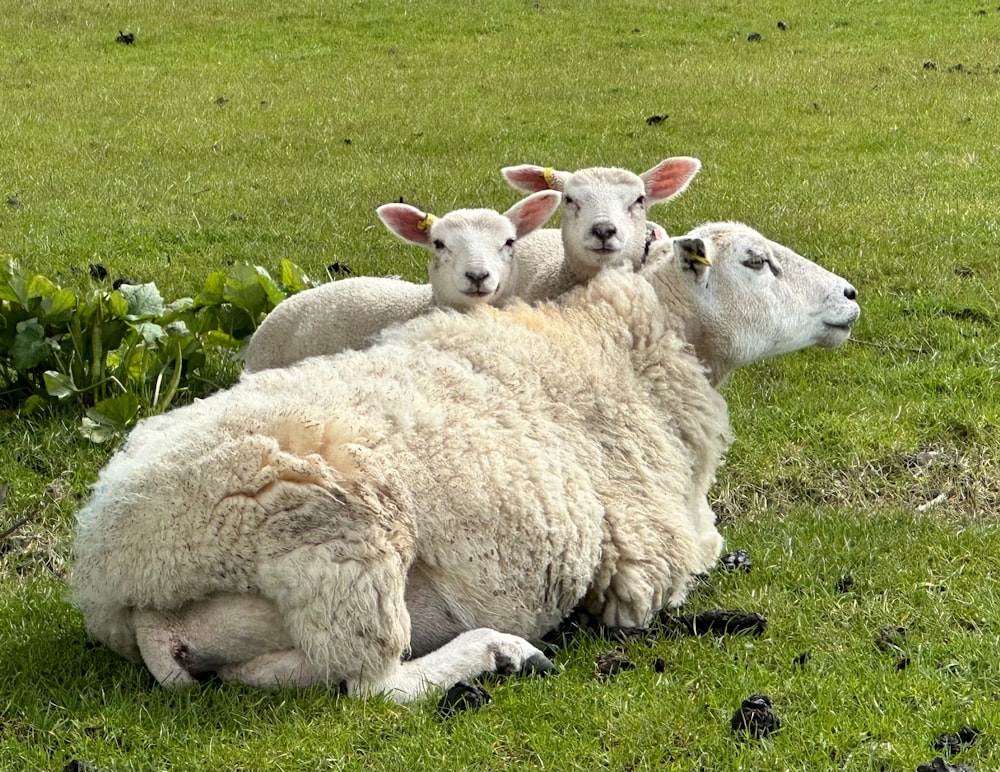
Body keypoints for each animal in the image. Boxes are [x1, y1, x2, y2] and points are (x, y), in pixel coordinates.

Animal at [70, 222, 860, 700]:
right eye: (756, 262)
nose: (851, 295)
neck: (633, 350)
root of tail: (117, 570)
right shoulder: (645, 561)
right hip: (346, 539)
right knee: (373, 686)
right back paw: (498, 652)